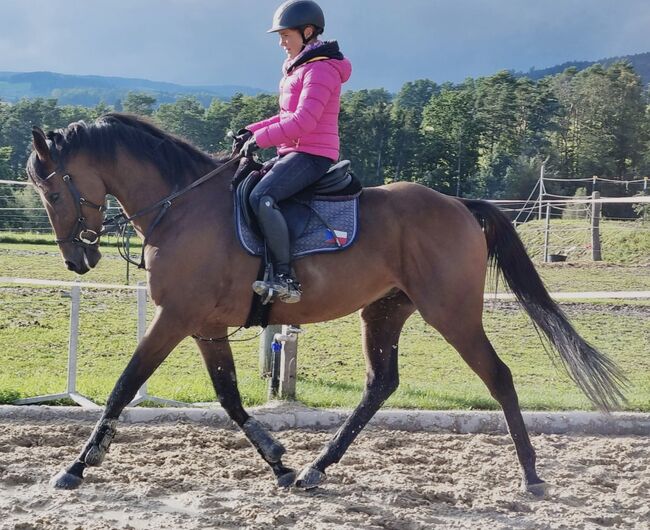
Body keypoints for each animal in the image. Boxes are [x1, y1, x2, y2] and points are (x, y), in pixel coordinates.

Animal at [26, 112, 628, 496]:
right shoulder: (204, 326)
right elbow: (229, 397)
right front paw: (278, 462)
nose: (78, 260)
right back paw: (316, 468)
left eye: (52, 192)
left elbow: (124, 386)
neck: (182, 206)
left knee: (497, 376)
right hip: (384, 311)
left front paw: (77, 466)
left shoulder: (174, 319)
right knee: (380, 384)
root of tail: (458, 204)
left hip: (452, 313)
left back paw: (532, 476)